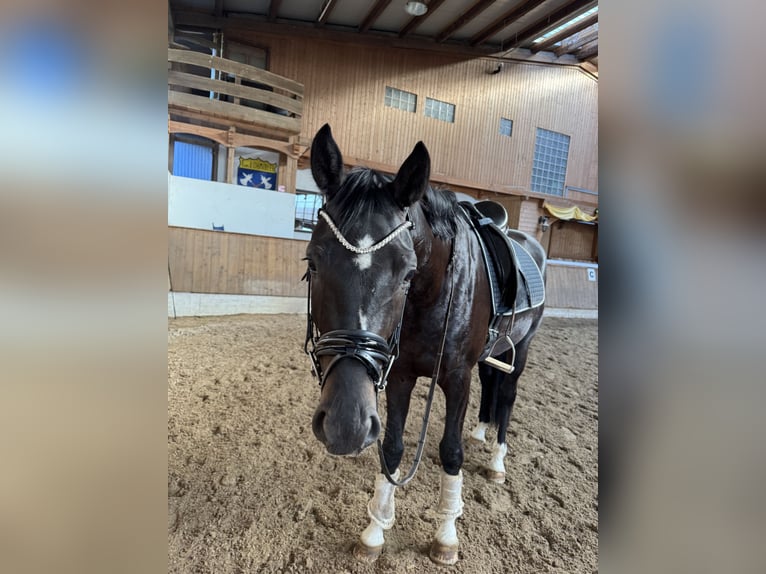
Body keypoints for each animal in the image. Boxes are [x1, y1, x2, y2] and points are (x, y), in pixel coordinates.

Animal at [304, 124, 546, 565]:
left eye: (407, 273)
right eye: (312, 261)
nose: (345, 425)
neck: (431, 293)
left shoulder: (456, 378)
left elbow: (452, 452)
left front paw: (446, 535)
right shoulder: (399, 374)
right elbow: (393, 448)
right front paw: (374, 532)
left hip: (521, 350)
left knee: (507, 396)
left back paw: (497, 461)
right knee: (492, 386)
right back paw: (480, 432)